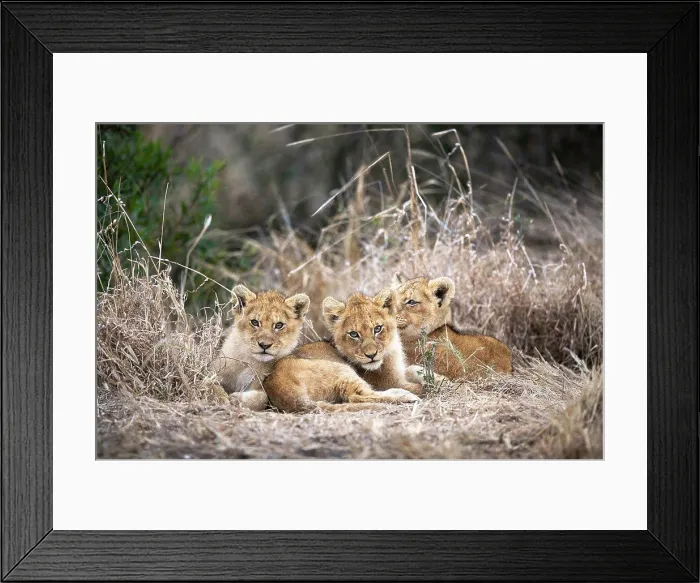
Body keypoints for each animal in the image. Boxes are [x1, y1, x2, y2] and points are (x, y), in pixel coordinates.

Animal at [262, 288, 424, 413]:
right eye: (354, 334)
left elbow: (415, 369)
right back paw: (405, 396)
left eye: (377, 329)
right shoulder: (391, 382)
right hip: (340, 369)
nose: (371, 355)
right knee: (357, 396)